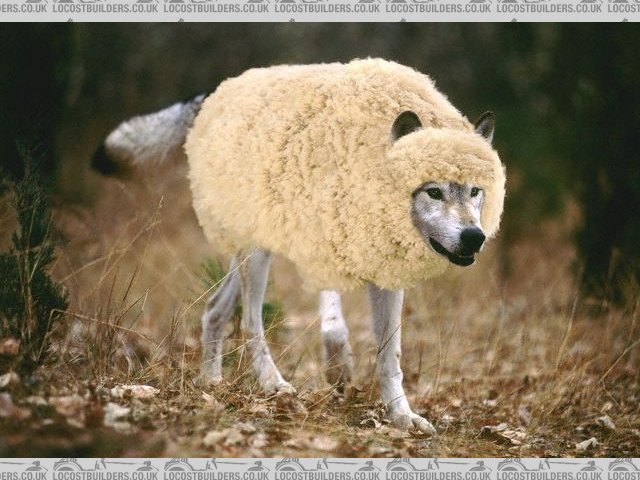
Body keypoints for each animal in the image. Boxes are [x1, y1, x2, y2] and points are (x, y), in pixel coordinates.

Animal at [93, 59, 505, 433]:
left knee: (214, 309)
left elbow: (391, 357)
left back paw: (211, 383)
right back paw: (273, 384)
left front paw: (402, 417)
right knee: (250, 322)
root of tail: (219, 90)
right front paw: (338, 369)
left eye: (474, 191)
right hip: (257, 257)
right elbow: (334, 325)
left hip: (248, 254)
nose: (474, 237)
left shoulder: (387, 274)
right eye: (434, 191)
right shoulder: (320, 248)